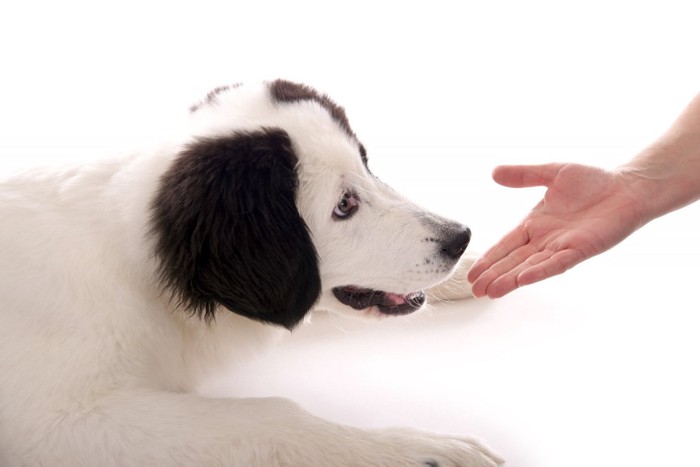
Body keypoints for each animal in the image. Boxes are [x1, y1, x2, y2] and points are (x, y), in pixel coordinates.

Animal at [1, 80, 504, 467]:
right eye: (344, 205)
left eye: (367, 166)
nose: (459, 238)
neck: (143, 274)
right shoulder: (60, 422)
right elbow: (278, 416)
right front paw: (417, 450)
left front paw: (479, 264)